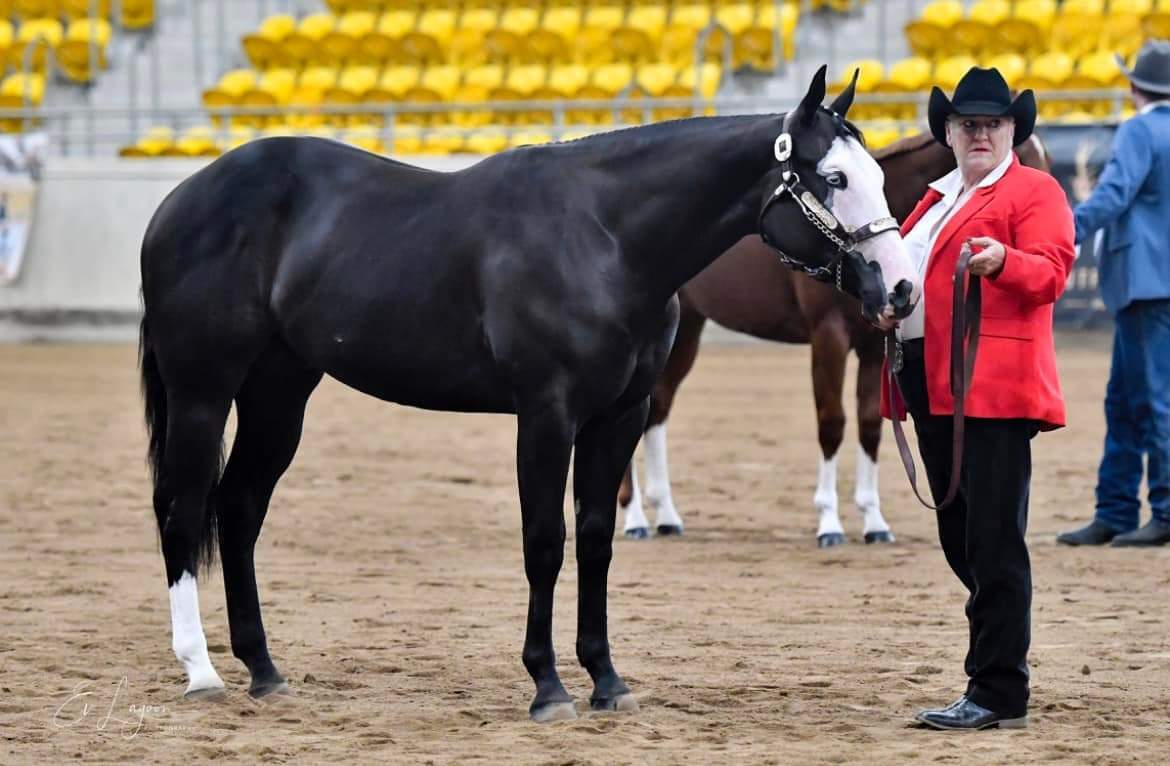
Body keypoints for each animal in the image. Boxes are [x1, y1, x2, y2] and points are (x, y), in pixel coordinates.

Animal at [138, 65, 920, 723]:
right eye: (834, 178)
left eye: (879, 176)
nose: (902, 289)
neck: (606, 239)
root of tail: (181, 199)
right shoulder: (547, 414)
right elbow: (545, 542)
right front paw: (548, 687)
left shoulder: (619, 416)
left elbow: (597, 539)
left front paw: (606, 681)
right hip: (203, 391)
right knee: (183, 509)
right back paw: (202, 670)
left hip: (280, 394)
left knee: (239, 508)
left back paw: (264, 670)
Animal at [617, 130, 1052, 546]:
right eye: (1019, 156)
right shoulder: (829, 337)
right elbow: (832, 423)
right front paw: (829, 523)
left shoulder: (875, 346)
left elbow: (869, 424)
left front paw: (874, 523)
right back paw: (635, 517)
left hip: (688, 329)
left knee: (658, 408)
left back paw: (667, 516)